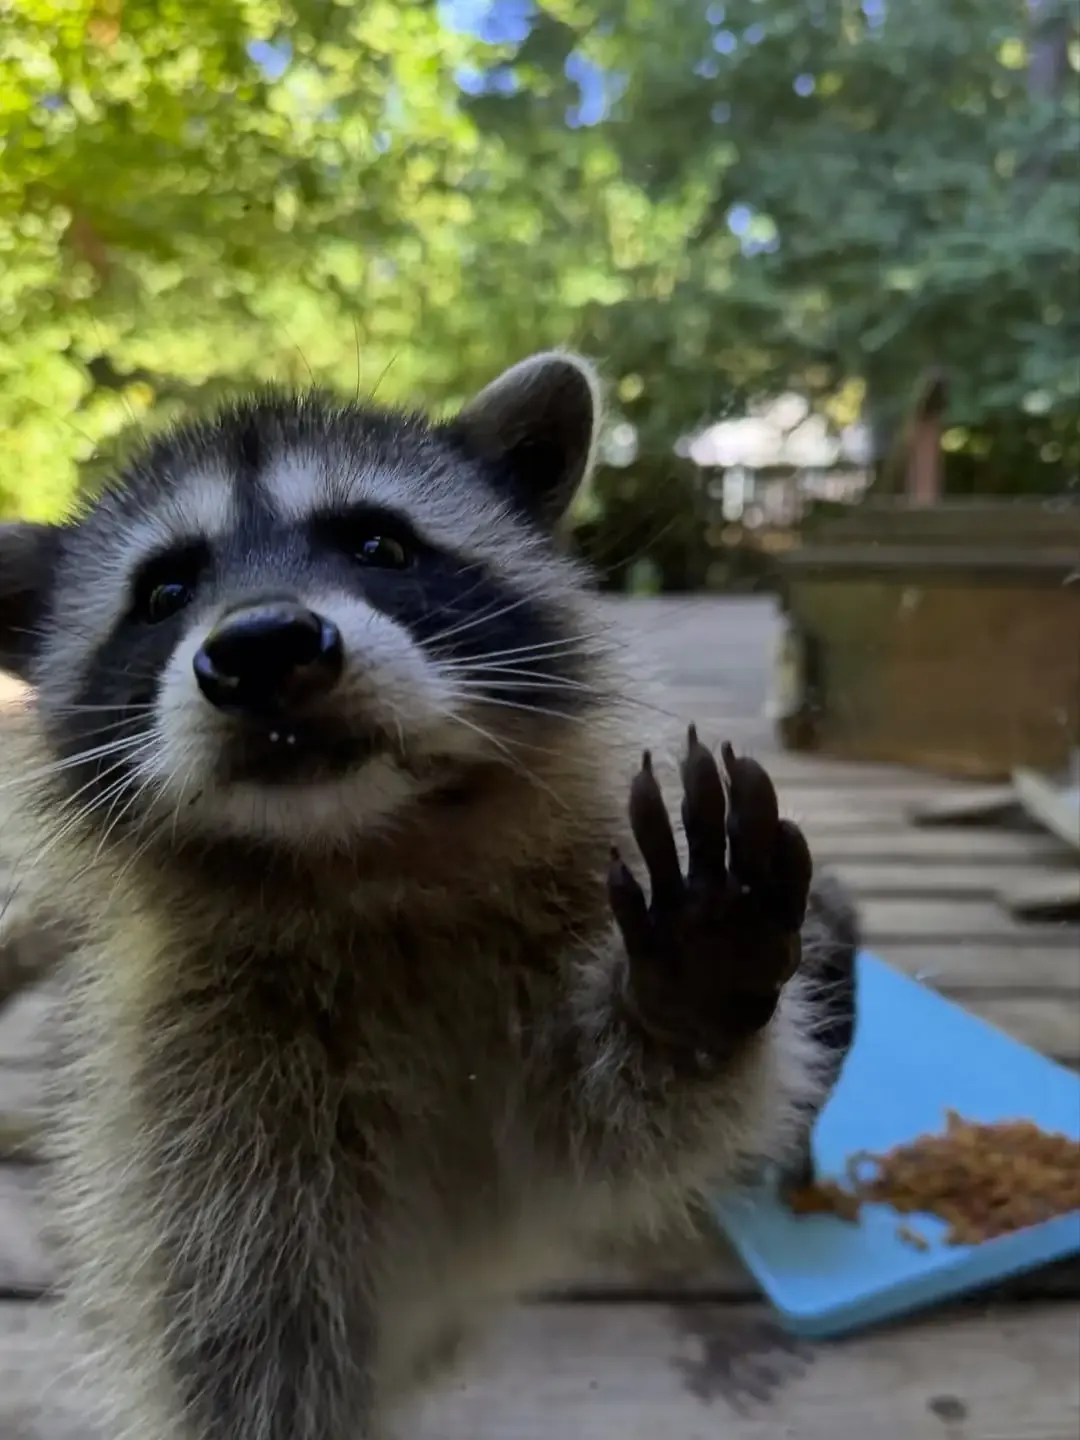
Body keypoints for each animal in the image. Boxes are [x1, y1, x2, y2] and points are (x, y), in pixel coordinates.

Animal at [0, 352, 856, 1440]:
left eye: (379, 544)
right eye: (162, 592)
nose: (263, 644)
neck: (360, 859)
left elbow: (611, 1131)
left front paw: (685, 1001)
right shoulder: (197, 1085)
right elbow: (244, 1343)